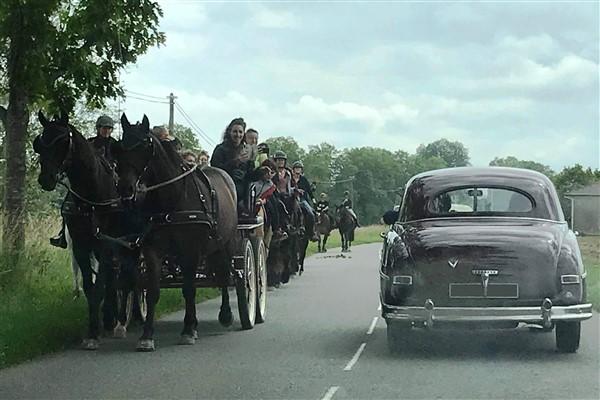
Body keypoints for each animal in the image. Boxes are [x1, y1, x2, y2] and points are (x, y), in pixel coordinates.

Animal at [115, 113, 239, 350]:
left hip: (226, 244)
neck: (172, 200)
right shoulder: (153, 249)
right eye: (120, 147)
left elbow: (189, 289)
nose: (125, 189)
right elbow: (153, 290)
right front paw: (147, 336)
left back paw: (226, 315)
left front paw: (188, 330)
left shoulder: (190, 250)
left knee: (224, 275)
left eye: (144, 147)